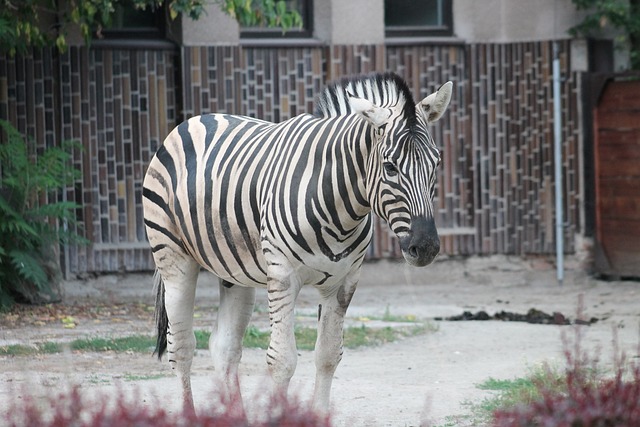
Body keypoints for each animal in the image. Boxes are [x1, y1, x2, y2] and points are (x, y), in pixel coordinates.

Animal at [144, 72, 456, 412]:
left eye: (436, 163)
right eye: (390, 167)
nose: (426, 247)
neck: (339, 208)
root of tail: (197, 119)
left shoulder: (344, 282)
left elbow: (328, 356)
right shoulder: (282, 276)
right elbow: (282, 361)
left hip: (235, 272)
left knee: (224, 346)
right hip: (174, 258)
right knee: (182, 347)